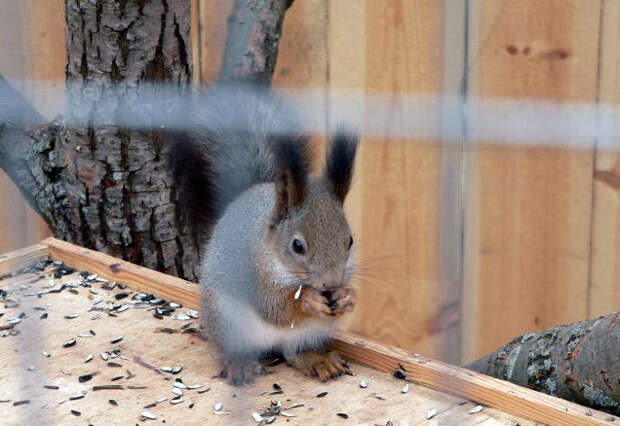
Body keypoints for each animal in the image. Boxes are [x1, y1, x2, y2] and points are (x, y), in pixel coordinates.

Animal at [170, 82, 358, 386]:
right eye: (297, 245)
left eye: (349, 240)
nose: (330, 283)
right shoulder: (254, 276)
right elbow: (275, 307)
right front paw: (308, 300)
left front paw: (346, 296)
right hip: (229, 322)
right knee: (233, 349)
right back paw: (240, 365)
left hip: (310, 333)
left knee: (293, 353)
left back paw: (320, 361)